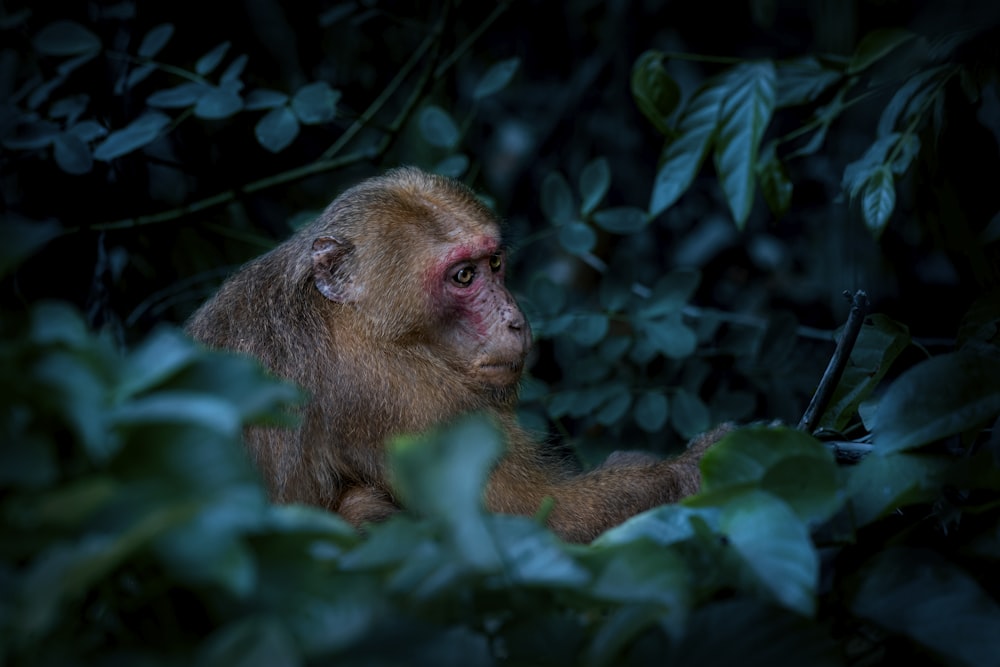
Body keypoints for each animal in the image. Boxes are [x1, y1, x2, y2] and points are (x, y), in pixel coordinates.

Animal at [184, 166, 728, 544]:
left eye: (494, 263)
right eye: (463, 277)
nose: (514, 319)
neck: (353, 317)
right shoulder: (401, 393)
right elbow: (543, 522)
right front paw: (694, 467)